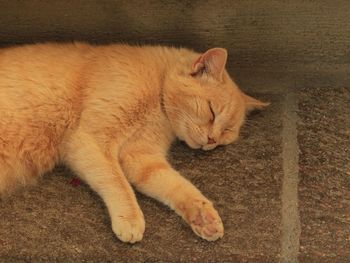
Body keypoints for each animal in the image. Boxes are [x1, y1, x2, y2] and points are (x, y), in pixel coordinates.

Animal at [0, 42, 266, 243]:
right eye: (212, 112)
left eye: (226, 133)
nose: (211, 140)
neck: (157, 94)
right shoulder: (93, 139)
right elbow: (117, 182)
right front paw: (130, 219)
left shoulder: (140, 157)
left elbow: (176, 185)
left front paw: (202, 215)